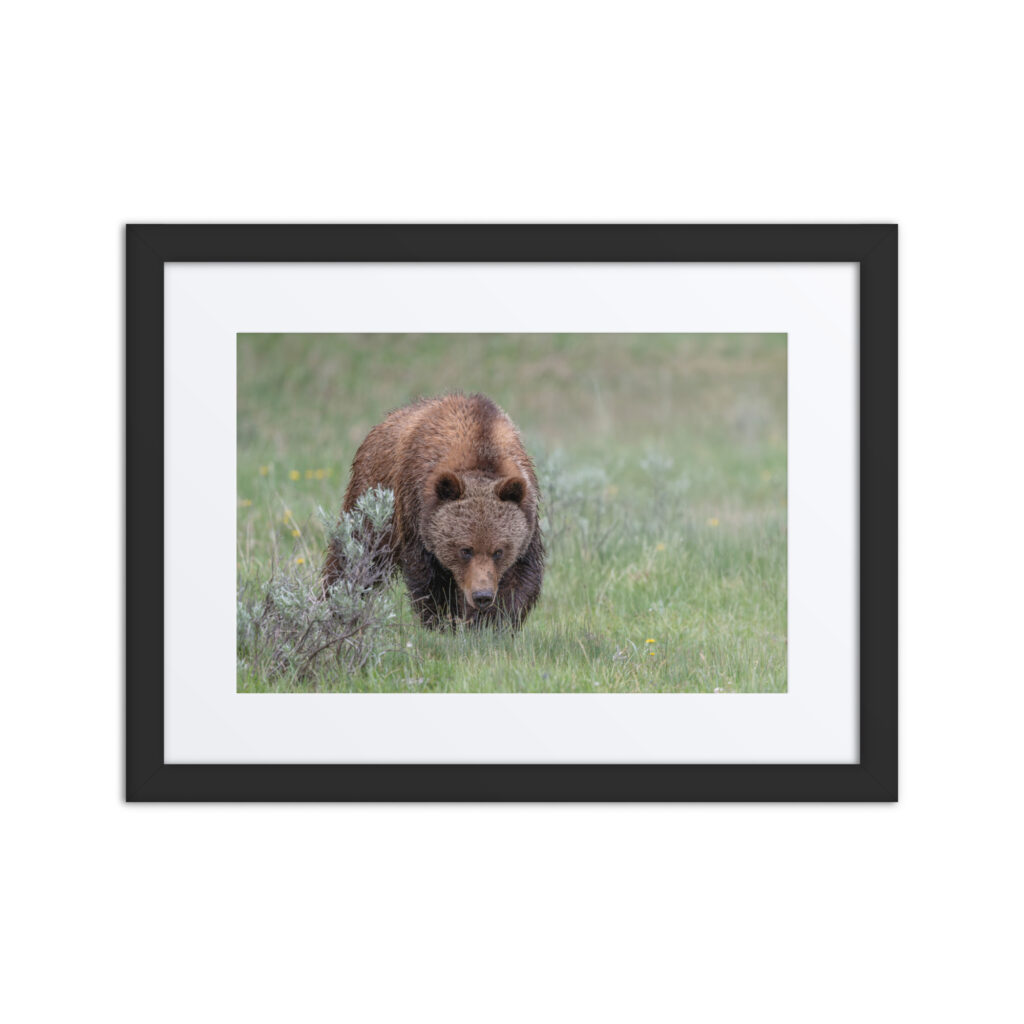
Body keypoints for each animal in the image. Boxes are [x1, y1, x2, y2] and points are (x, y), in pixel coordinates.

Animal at [322, 393, 544, 630]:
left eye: (499, 551)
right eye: (465, 550)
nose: (482, 596)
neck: (481, 451)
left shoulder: (527, 519)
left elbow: (519, 579)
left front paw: (491, 623)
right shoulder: (416, 513)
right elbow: (430, 580)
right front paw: (444, 622)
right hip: (373, 498)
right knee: (355, 555)